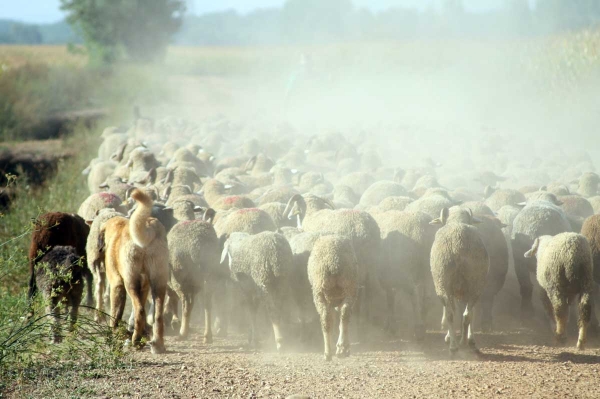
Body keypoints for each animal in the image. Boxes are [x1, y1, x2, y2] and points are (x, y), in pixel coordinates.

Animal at [101, 188, 169, 354]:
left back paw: (136, 341)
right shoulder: (144, 287)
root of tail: (148, 227)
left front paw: (113, 334)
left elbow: (115, 315)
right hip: (158, 281)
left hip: (130, 281)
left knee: (140, 311)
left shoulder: (116, 284)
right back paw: (157, 344)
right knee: (157, 314)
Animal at [168, 208, 219, 342]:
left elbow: (173, 299)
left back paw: (182, 332)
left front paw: (175, 321)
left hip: (181, 276)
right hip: (209, 275)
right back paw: (207, 335)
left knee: (185, 304)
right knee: (207, 303)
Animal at [310, 234, 356, 362]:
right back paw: (340, 349)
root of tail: (334, 263)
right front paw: (343, 347)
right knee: (344, 315)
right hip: (348, 288)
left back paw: (329, 352)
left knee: (327, 319)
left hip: (320, 293)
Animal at [428, 208, 490, 354]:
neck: (457, 221)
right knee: (467, 314)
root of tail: (458, 246)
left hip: (442, 281)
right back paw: (464, 342)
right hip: (475, 283)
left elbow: (452, 310)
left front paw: (449, 337)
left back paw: (454, 345)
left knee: (451, 313)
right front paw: (470, 338)